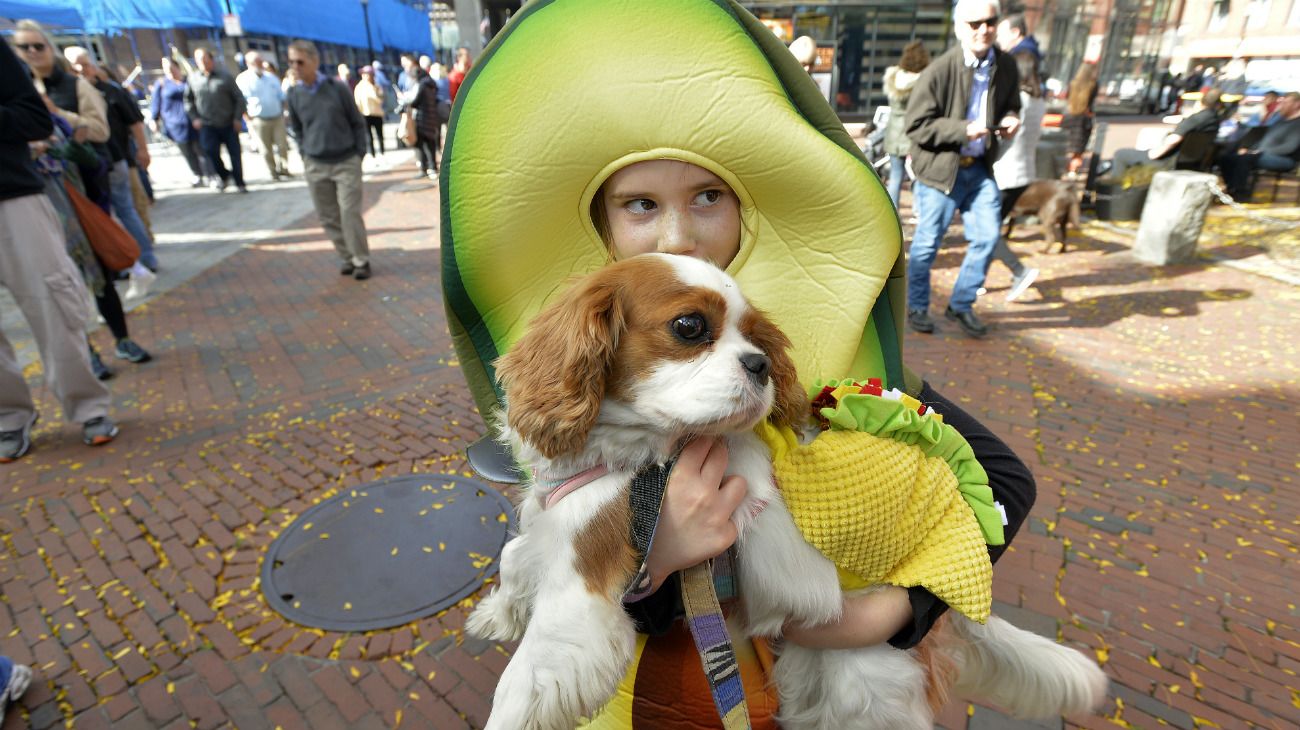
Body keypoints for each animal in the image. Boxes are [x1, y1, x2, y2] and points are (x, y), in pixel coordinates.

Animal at [467, 251, 1107, 727]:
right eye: (689, 326)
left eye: (755, 337)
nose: (760, 365)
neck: (635, 452)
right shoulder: (559, 516)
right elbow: (516, 553)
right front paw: (499, 610)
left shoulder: (586, 588)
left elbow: (523, 682)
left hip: (862, 681)